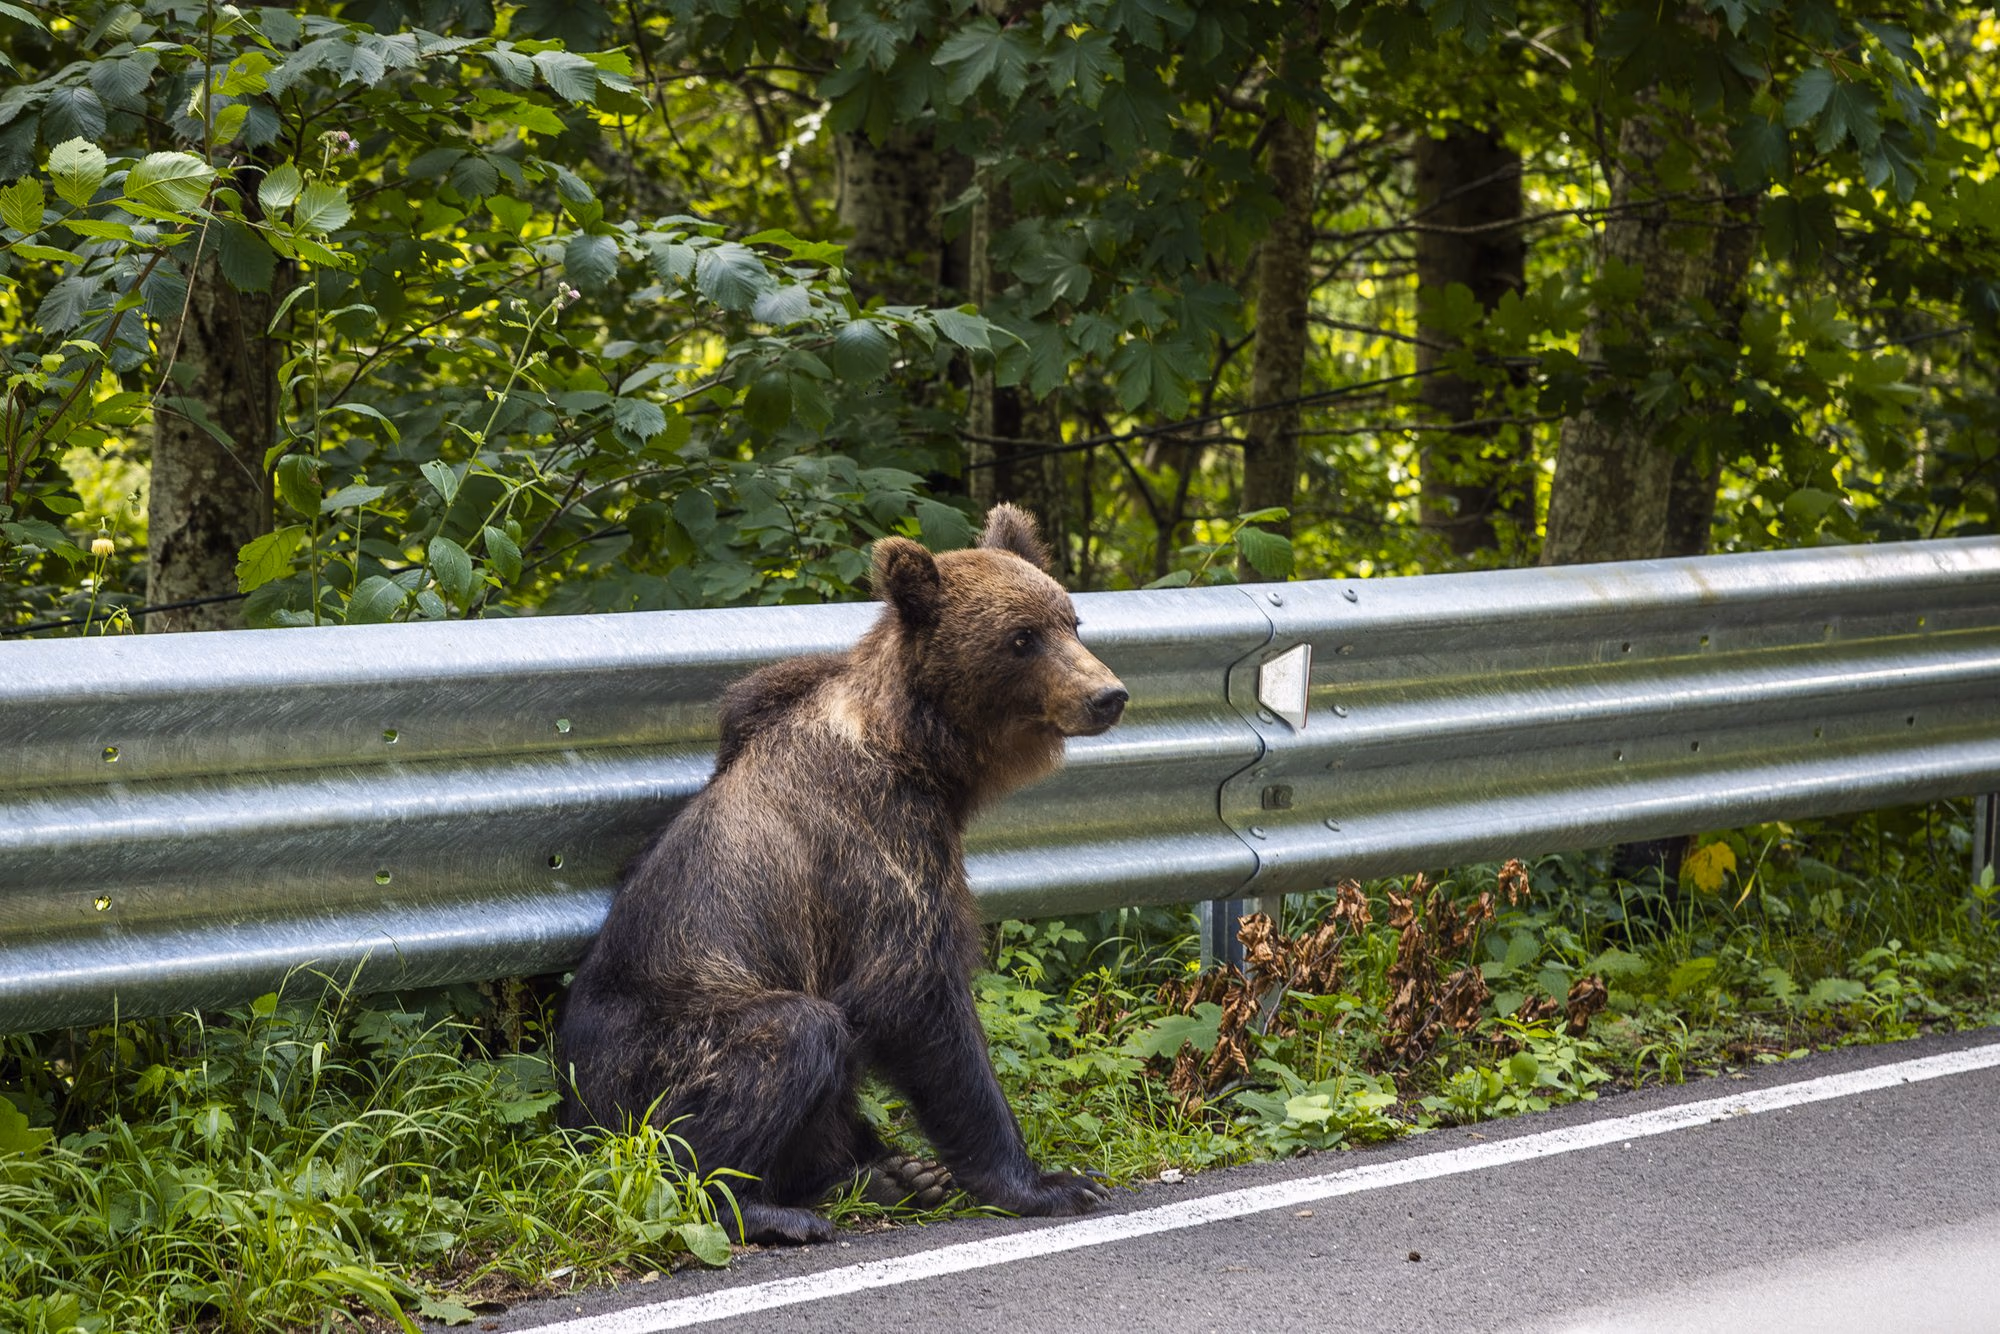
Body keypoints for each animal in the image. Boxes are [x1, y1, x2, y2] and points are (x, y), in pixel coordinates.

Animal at [556, 503, 1129, 1244]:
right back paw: (767, 1208)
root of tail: (573, 1113)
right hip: (653, 1055)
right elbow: (915, 996)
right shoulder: (877, 843)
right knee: (787, 1040)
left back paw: (890, 1173)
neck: (920, 750)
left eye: (1072, 620)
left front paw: (913, 1165)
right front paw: (1049, 1183)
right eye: (1022, 638)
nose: (1108, 694)